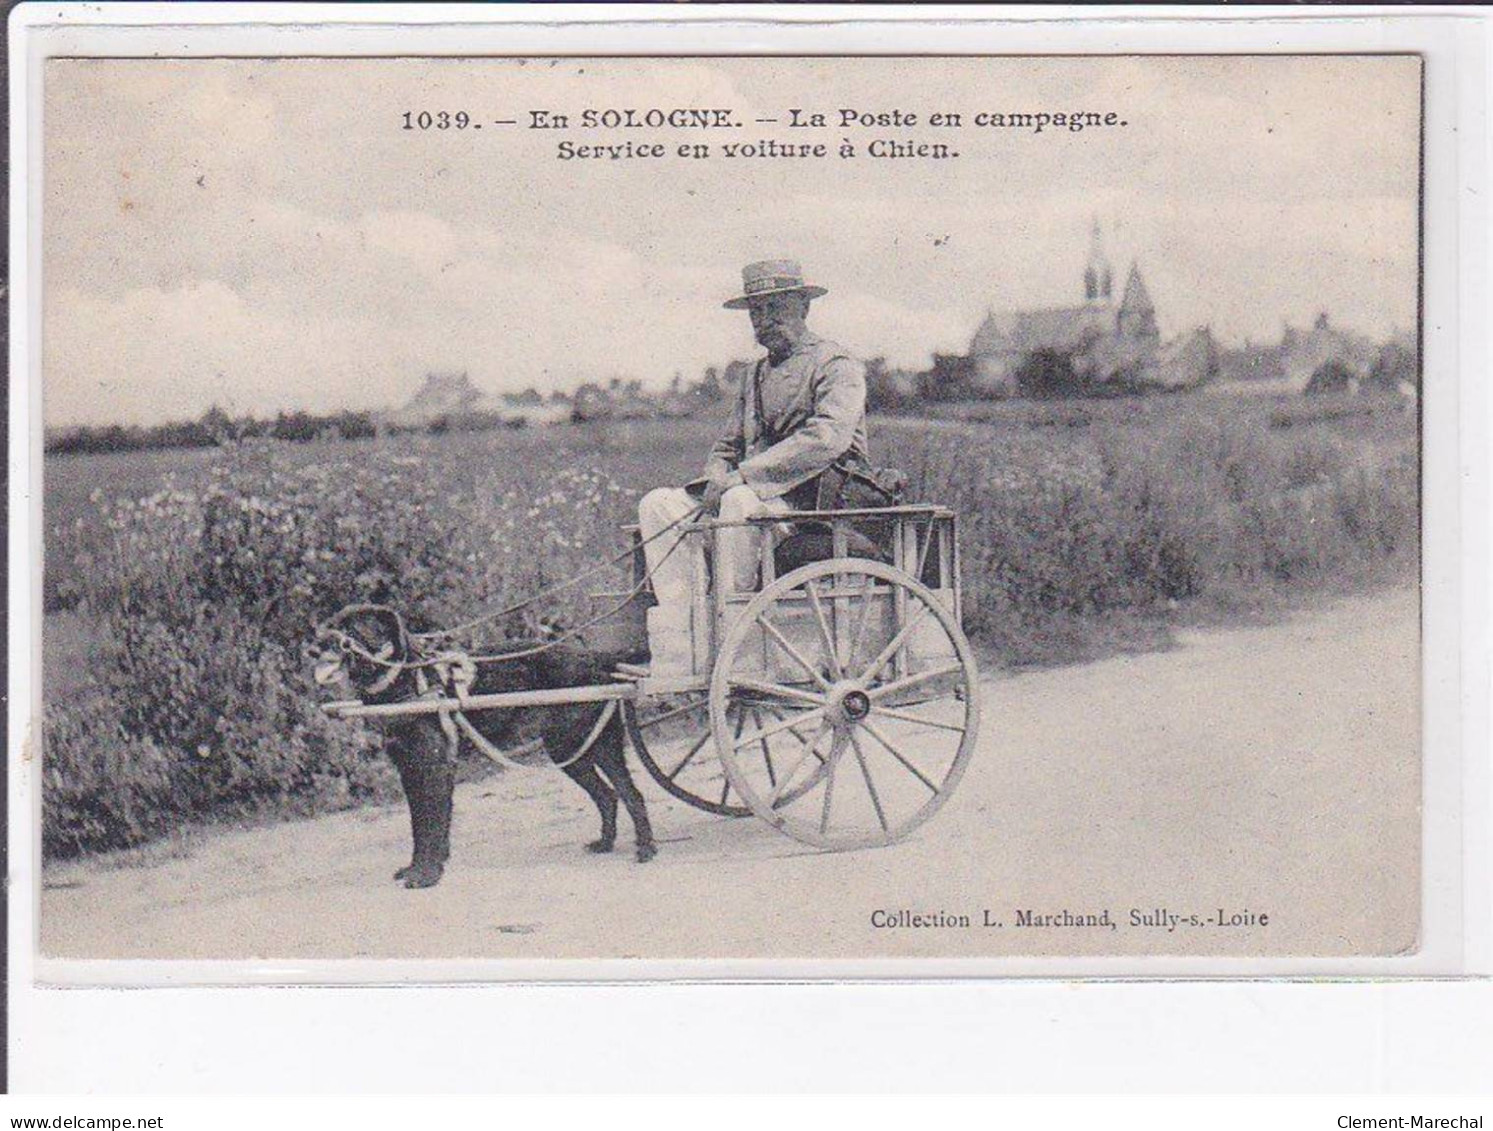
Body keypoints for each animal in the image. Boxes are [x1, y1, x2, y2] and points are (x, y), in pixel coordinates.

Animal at [315, 605, 653, 889]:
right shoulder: (409, 770)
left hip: (601, 745)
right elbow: (418, 824)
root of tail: (595, 657)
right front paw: (416, 867)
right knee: (607, 795)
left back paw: (646, 848)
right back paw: (606, 843)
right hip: (569, 750)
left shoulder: (434, 768)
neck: (408, 679)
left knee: (631, 794)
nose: (313, 646)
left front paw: (427, 873)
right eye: (331, 623)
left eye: (353, 628)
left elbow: (431, 823)